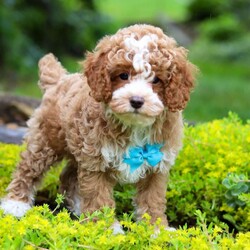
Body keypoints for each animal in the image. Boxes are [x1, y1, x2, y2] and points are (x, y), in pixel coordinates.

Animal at [0, 23, 198, 229]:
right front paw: (106, 228)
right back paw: (15, 203)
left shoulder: (156, 166)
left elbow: (153, 200)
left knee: (68, 175)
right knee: (29, 167)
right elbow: (98, 198)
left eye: (156, 80)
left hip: (78, 147)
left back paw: (78, 208)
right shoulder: (97, 162)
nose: (136, 101)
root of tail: (60, 80)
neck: (134, 125)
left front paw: (156, 229)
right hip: (46, 140)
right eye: (123, 75)